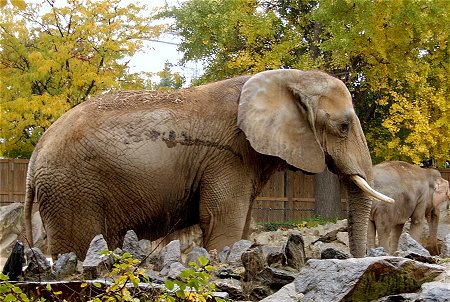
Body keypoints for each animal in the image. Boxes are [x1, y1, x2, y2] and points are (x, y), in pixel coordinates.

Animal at [24, 69, 392, 260]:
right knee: (78, 245)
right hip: (72, 192)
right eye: (343, 126)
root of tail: (33, 158)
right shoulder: (227, 155)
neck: (289, 77)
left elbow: (242, 224)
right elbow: (223, 221)